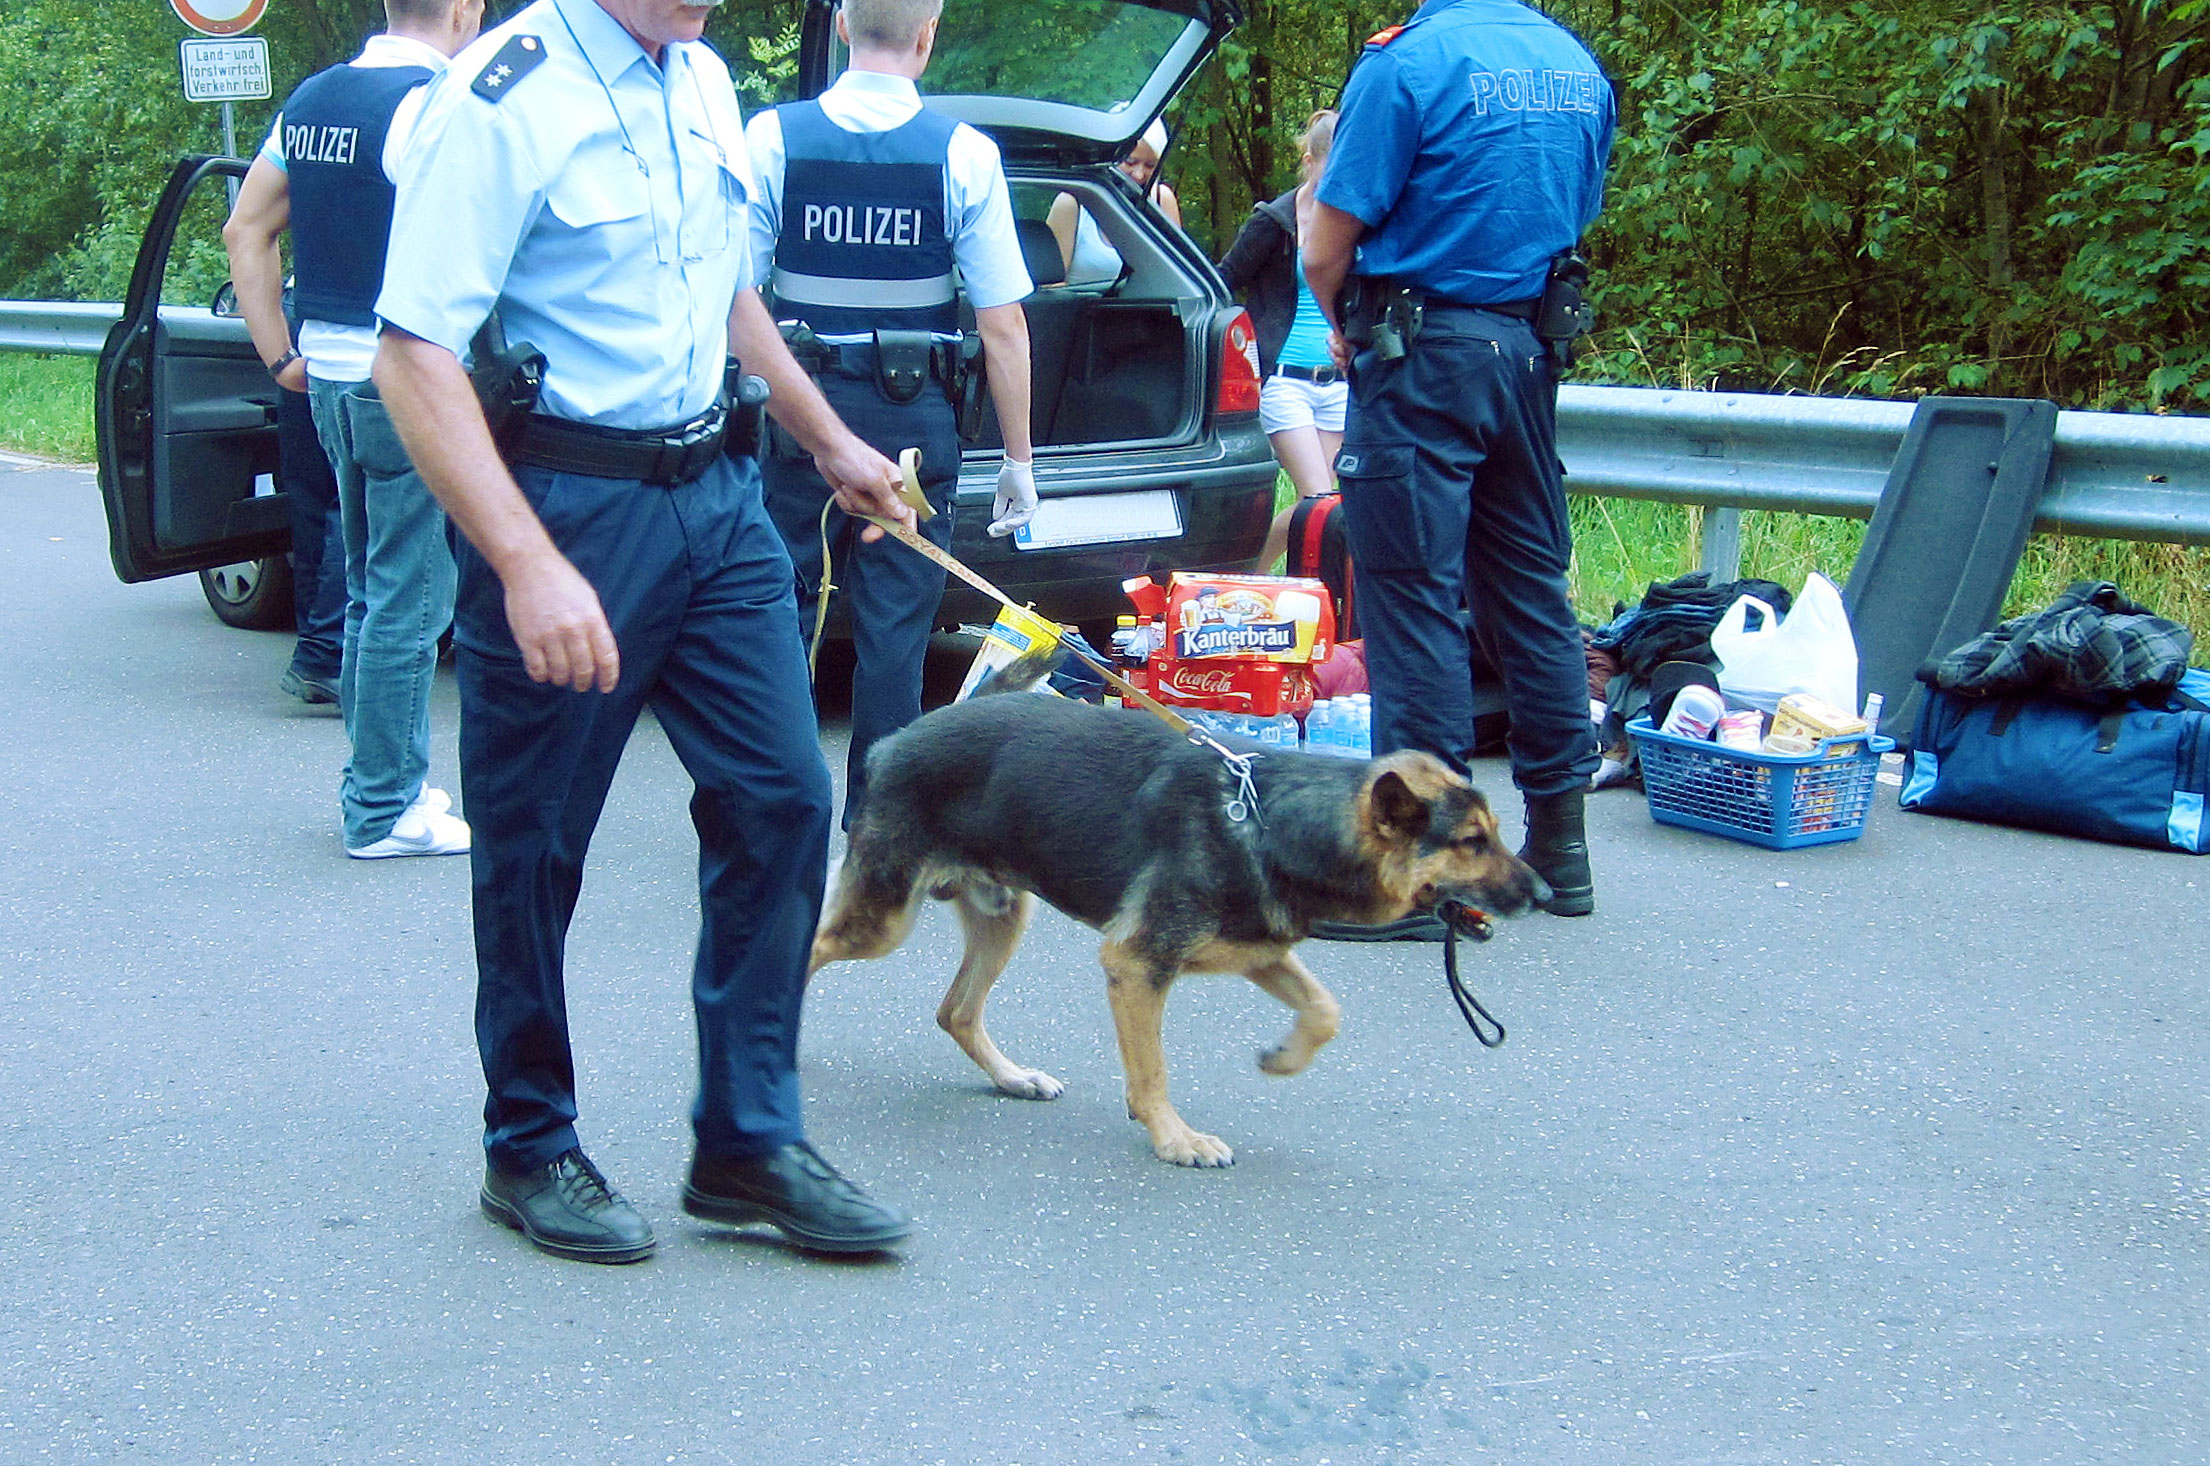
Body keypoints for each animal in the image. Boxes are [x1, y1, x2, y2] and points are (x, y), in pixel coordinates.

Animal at [813, 689, 1555, 1167]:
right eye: (1471, 843)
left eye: (1493, 834)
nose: (1544, 892)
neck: (1269, 819)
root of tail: (888, 744)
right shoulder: (1137, 966)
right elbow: (1154, 1070)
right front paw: (1174, 1140)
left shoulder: (1261, 952)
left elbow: (1325, 1011)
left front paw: (1284, 1058)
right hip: (882, 922)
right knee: (813, 947)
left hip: (1002, 919)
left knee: (956, 1012)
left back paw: (1013, 1077)